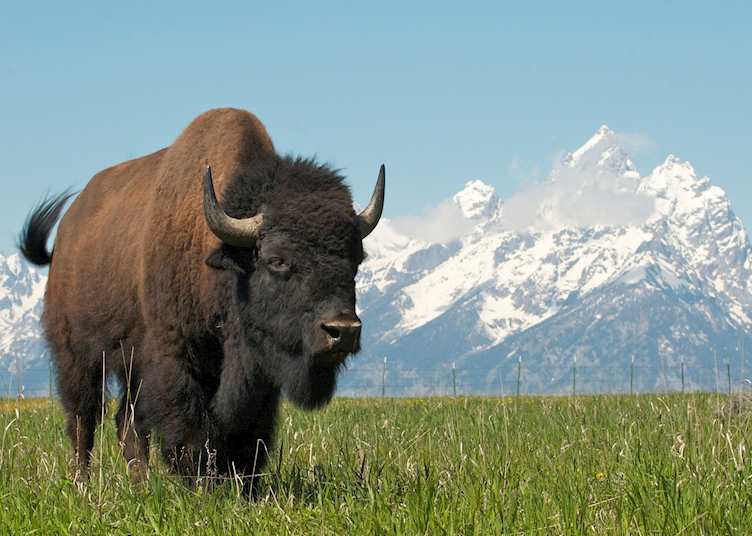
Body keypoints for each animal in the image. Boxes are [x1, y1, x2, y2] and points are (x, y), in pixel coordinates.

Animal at [18, 108, 384, 491]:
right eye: (277, 260)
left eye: (356, 259)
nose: (343, 330)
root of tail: (66, 234)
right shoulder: (176, 357)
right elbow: (189, 426)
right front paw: (201, 485)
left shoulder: (257, 375)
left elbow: (248, 434)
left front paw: (243, 486)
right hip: (78, 357)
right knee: (83, 419)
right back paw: (83, 486)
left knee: (126, 425)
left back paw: (140, 486)